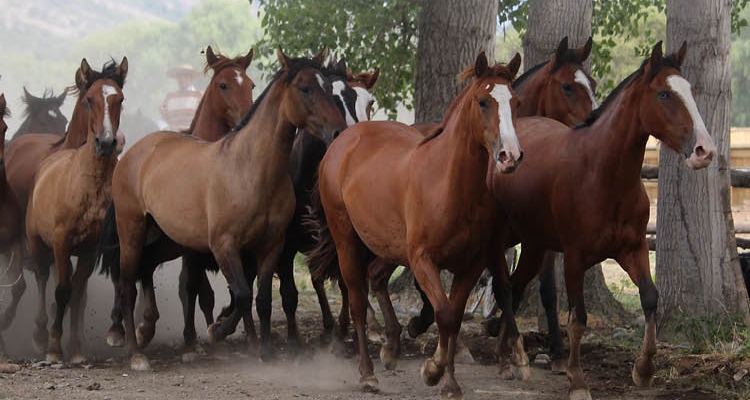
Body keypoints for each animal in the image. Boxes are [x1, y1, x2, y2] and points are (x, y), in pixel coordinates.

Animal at [0, 58, 128, 354]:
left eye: (120, 99)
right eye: (88, 101)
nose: (109, 143)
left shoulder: (88, 249)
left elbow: (78, 293)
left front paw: (74, 342)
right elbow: (45, 286)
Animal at [106, 47, 346, 372]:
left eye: (330, 88)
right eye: (305, 88)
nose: (338, 131)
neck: (251, 170)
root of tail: (135, 151)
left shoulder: (271, 246)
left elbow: (262, 299)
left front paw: (265, 350)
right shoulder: (223, 245)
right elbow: (241, 294)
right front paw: (217, 330)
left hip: (168, 239)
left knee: (145, 269)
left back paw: (144, 332)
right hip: (132, 230)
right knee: (127, 283)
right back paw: (134, 351)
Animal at [310, 51, 528, 396]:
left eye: (516, 102)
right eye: (482, 101)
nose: (510, 156)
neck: (450, 185)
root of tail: (343, 140)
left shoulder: (472, 263)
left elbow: (455, 316)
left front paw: (449, 381)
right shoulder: (423, 260)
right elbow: (444, 313)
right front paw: (433, 370)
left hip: (387, 244)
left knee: (376, 277)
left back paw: (391, 348)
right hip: (346, 239)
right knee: (357, 299)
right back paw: (368, 374)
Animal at [494, 42, 716, 398]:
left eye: (690, 91)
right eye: (664, 94)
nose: (703, 150)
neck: (601, 173)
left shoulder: (633, 249)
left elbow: (650, 298)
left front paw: (644, 369)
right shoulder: (574, 257)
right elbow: (578, 318)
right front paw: (577, 379)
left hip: (534, 245)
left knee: (512, 287)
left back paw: (507, 355)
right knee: (497, 285)